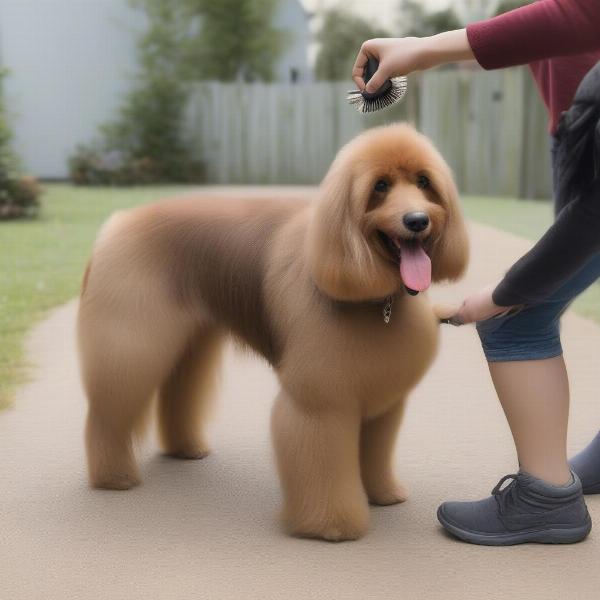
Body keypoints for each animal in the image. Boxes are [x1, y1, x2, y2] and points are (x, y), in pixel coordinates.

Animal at [77, 124, 468, 540]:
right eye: (380, 185)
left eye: (423, 181)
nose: (417, 220)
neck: (374, 297)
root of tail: (118, 223)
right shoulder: (320, 404)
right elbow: (324, 464)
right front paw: (332, 524)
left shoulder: (383, 402)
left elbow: (375, 452)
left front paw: (383, 494)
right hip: (132, 343)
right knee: (106, 415)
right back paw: (114, 477)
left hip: (189, 341)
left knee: (178, 391)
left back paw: (186, 448)